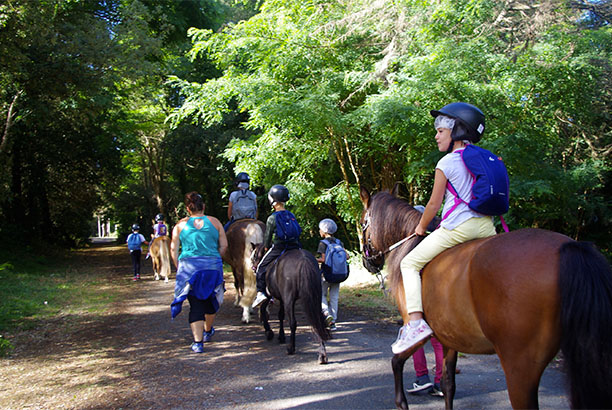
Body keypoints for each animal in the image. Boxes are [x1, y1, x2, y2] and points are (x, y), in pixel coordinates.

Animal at [358, 187, 612, 408]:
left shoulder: (419, 329)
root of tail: (569, 246)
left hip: (519, 369)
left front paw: (401, 403)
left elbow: (396, 361)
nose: (367, 262)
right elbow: (448, 385)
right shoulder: (450, 336)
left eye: (362, 224)